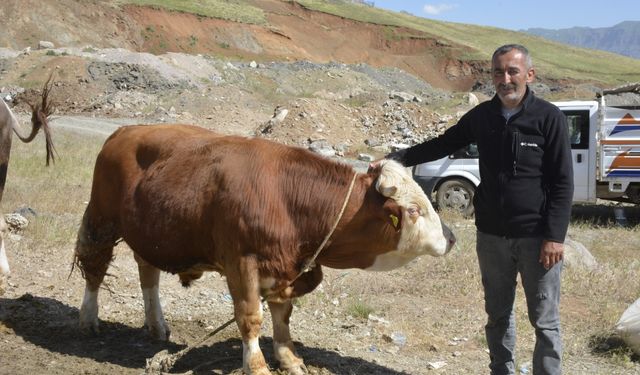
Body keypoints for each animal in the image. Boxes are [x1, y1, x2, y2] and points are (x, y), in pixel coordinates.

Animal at [75, 125, 456, 374]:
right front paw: (256, 365)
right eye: (413, 210)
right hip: (101, 220)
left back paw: (156, 325)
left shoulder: (286, 265)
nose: (451, 237)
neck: (288, 197)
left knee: (147, 271)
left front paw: (288, 357)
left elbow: (282, 313)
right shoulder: (241, 260)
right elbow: (250, 316)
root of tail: (126, 130)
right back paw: (88, 319)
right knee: (94, 268)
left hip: (151, 232)